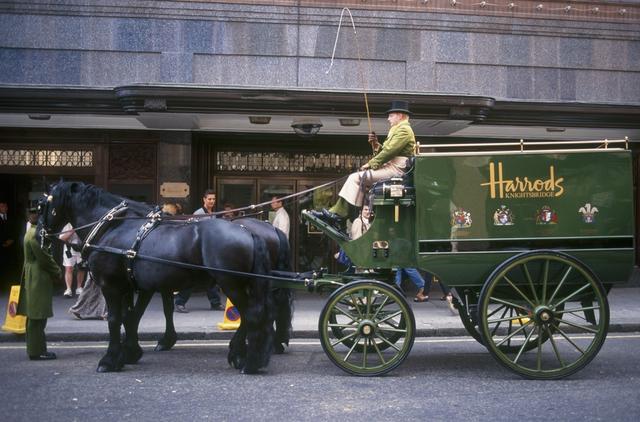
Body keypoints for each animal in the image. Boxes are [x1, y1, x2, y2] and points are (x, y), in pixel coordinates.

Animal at [37, 181, 272, 372]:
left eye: (41, 205)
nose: (40, 233)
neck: (113, 226)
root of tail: (249, 232)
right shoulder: (132, 285)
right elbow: (130, 316)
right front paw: (130, 352)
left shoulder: (111, 285)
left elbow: (115, 320)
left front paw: (110, 359)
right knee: (253, 315)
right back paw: (243, 355)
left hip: (231, 283)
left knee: (251, 315)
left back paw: (248, 361)